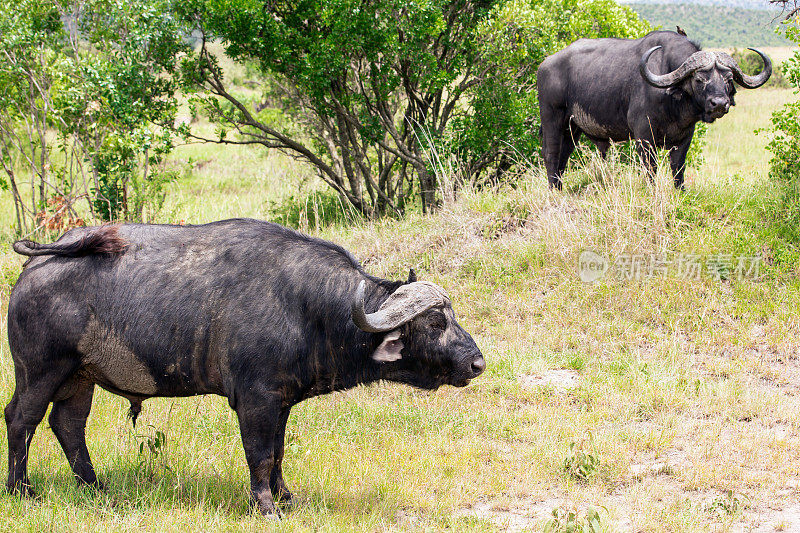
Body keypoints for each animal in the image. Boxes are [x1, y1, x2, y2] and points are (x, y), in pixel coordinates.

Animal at [3, 220, 484, 516]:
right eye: (436, 322)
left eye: (451, 315)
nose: (477, 362)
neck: (306, 307)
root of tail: (34, 265)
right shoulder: (255, 400)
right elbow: (260, 453)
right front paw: (265, 507)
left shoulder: (281, 401)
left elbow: (279, 452)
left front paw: (286, 497)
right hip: (41, 372)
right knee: (21, 419)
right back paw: (21, 490)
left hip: (79, 379)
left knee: (68, 425)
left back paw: (96, 488)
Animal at [536, 30, 772, 189]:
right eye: (699, 79)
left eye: (728, 78)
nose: (719, 103)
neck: (674, 102)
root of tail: (544, 65)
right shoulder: (643, 135)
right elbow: (651, 168)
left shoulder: (685, 137)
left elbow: (678, 168)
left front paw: (680, 192)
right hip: (552, 117)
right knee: (551, 154)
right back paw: (553, 190)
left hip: (572, 128)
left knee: (563, 157)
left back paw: (559, 187)